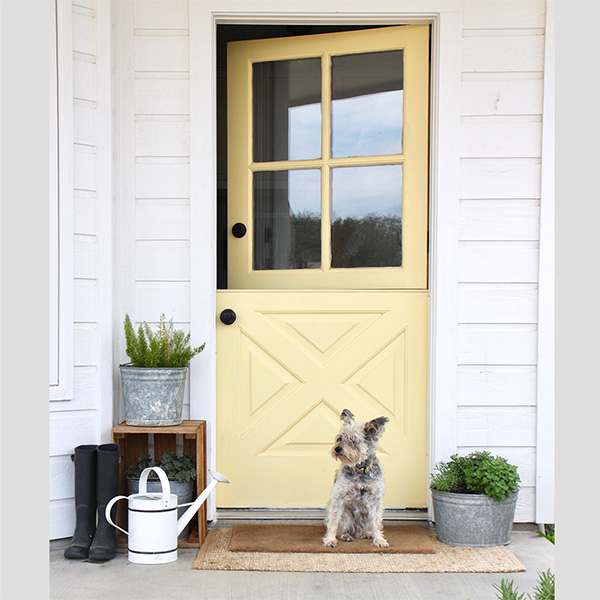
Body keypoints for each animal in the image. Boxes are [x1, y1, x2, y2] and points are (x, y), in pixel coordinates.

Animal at [324, 408, 390, 548]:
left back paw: (366, 533)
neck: (360, 470)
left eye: (352, 440)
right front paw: (330, 539)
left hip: (367, 517)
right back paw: (345, 535)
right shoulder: (338, 497)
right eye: (339, 438)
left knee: (365, 529)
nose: (337, 449)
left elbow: (377, 523)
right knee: (342, 527)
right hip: (346, 516)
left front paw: (379, 539)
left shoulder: (375, 499)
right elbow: (333, 522)